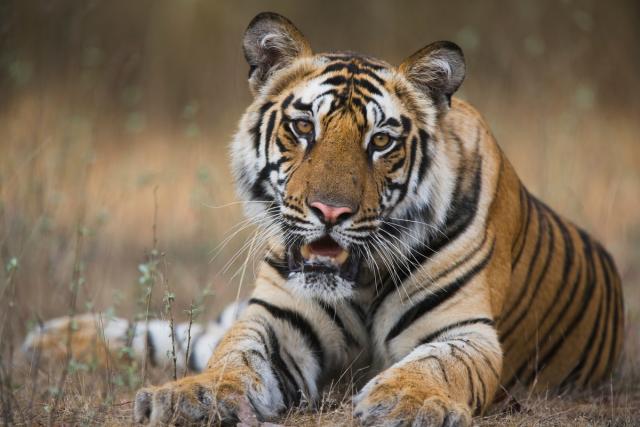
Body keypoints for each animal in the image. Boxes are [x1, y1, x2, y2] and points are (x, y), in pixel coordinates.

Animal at [23, 12, 624, 426]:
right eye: (304, 128)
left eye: (380, 141)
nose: (330, 212)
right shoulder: (277, 316)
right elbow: (231, 355)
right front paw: (193, 395)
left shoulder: (465, 331)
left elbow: (434, 364)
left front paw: (404, 402)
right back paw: (49, 340)